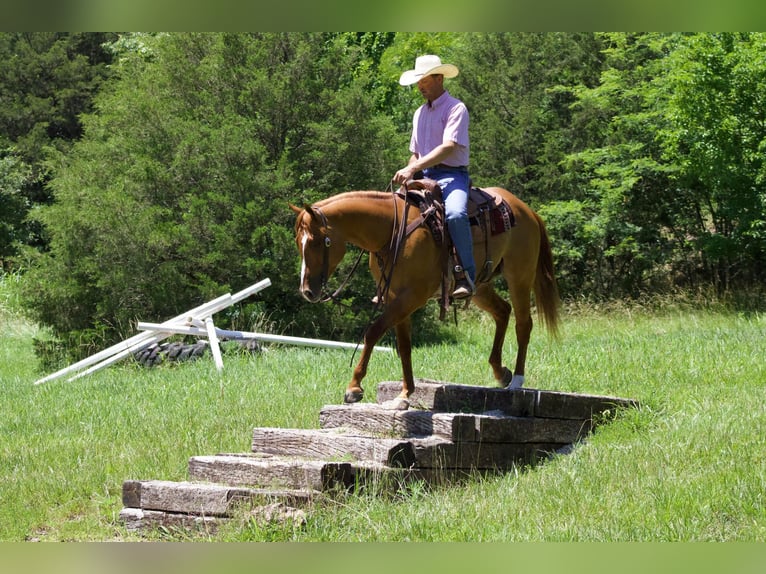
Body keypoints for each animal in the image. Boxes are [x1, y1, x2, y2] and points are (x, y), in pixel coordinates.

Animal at [292, 188, 560, 404]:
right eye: (298, 242)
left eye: (316, 241)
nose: (307, 291)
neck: (392, 232)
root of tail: (526, 209)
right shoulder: (396, 297)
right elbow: (404, 345)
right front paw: (405, 393)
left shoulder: (414, 295)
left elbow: (373, 332)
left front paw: (354, 387)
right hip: (480, 287)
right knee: (503, 311)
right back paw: (501, 372)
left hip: (520, 277)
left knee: (523, 324)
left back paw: (517, 380)